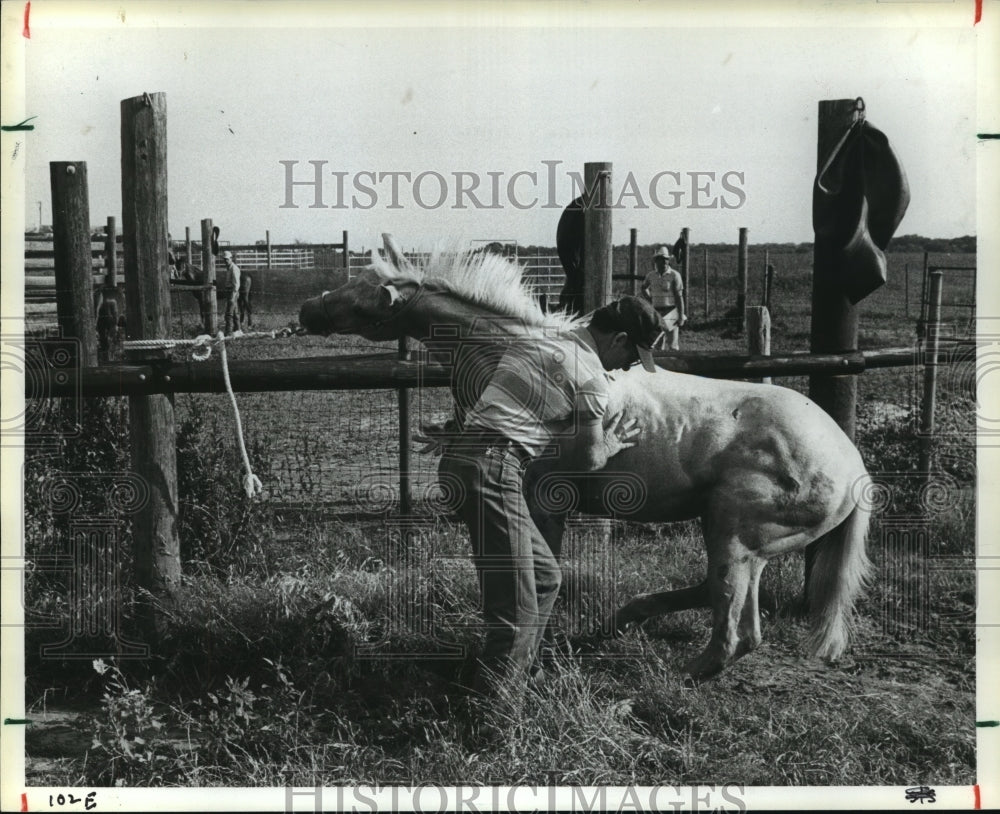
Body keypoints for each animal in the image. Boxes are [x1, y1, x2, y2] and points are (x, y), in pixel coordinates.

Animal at [292, 236, 872, 684]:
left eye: (365, 297)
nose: (306, 310)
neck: (515, 355)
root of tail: (855, 468)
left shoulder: (545, 501)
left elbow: (538, 574)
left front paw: (533, 654)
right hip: (744, 541)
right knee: (735, 615)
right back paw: (616, 625)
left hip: (731, 529)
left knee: (732, 624)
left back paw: (667, 672)